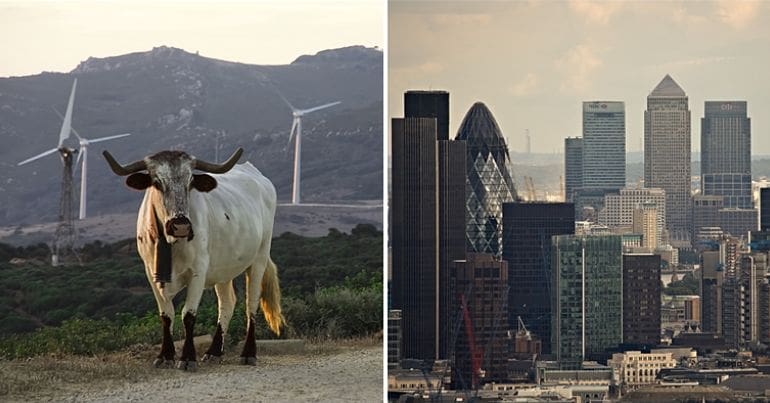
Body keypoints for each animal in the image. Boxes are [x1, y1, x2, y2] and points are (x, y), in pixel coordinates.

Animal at [103, 147, 284, 371]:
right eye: (156, 182)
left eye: (190, 182)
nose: (180, 225)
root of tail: (259, 177)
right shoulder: (151, 272)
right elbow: (166, 315)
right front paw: (165, 356)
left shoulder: (198, 271)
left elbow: (188, 314)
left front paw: (188, 357)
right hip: (224, 269)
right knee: (227, 303)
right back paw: (214, 352)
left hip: (259, 258)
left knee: (251, 304)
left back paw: (248, 353)